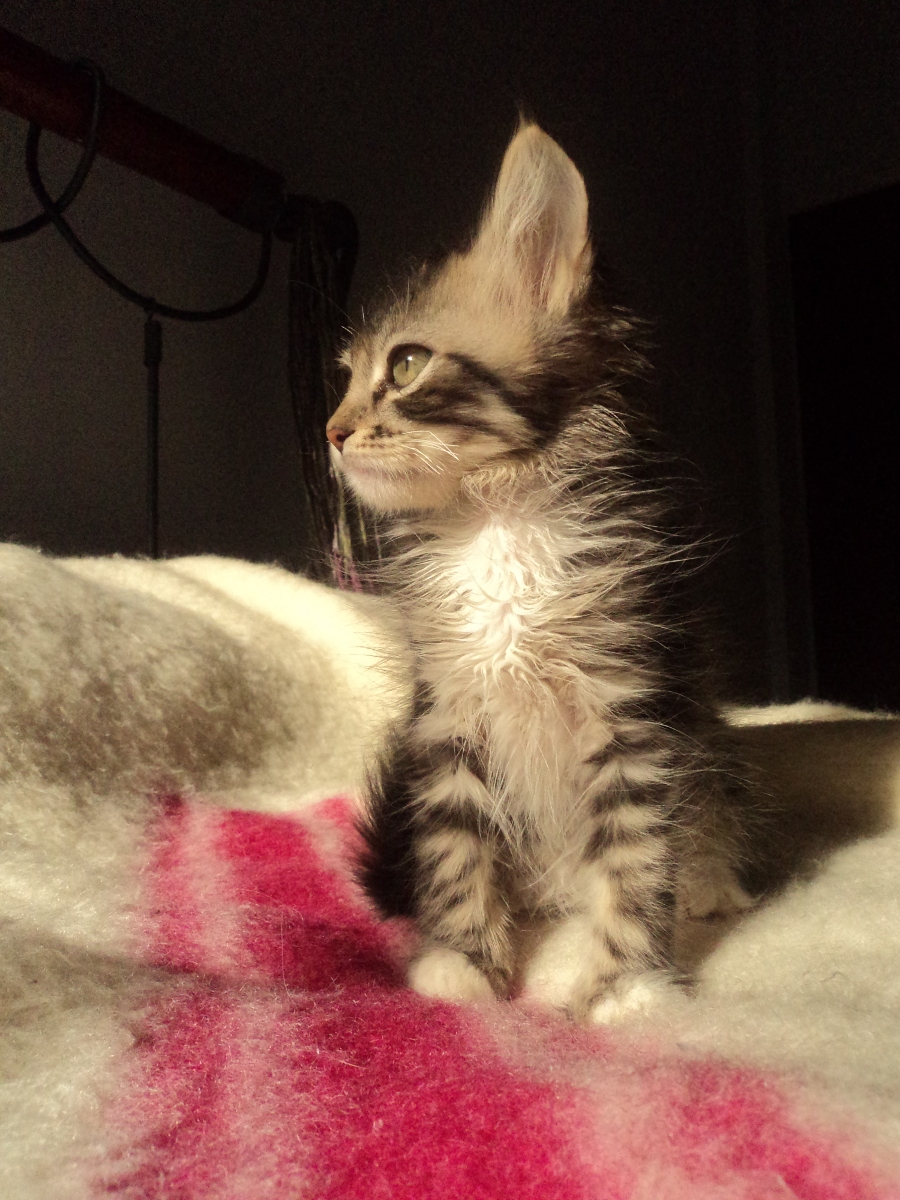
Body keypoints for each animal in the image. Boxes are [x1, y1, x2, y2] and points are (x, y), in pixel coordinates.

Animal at [326, 122, 754, 1023]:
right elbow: (455, 847)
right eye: (343, 380)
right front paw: (464, 962)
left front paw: (625, 984)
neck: (498, 519)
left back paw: (701, 890)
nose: (333, 432)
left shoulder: (630, 706)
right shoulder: (449, 711)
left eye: (405, 365)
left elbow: (635, 857)